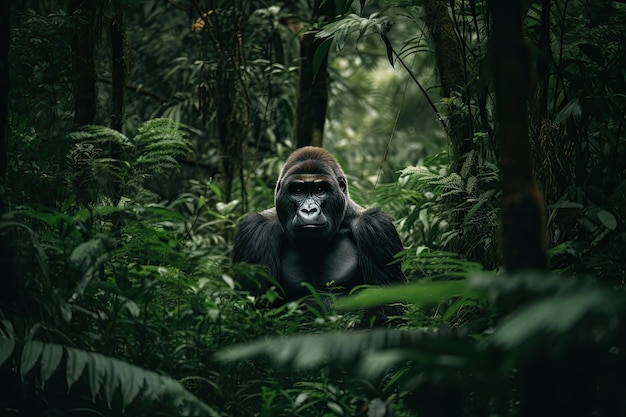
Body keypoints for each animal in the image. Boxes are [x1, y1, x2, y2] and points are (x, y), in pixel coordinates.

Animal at [233, 146, 404, 312]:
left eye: (320, 190)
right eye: (298, 191)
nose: (309, 210)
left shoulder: (376, 228)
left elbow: (389, 306)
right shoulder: (255, 232)